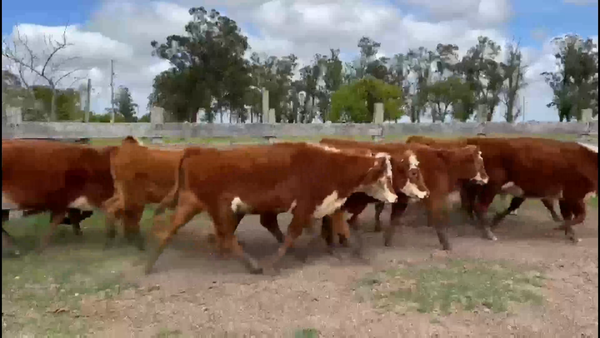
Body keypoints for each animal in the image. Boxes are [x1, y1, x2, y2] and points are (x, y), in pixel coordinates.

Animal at [148, 141, 406, 274]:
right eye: (385, 176)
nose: (394, 197)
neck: (329, 165)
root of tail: (198, 151)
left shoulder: (324, 206)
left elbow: (337, 228)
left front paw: (348, 252)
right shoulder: (304, 206)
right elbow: (294, 233)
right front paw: (275, 261)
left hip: (191, 203)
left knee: (171, 229)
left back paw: (150, 264)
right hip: (219, 208)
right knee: (228, 236)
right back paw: (253, 265)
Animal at [318, 137, 488, 251]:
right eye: (480, 162)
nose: (486, 178)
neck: (442, 164)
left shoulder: (403, 200)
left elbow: (395, 219)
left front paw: (387, 241)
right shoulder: (434, 198)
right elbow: (438, 221)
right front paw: (446, 244)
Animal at [406, 135, 596, 243]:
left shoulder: (565, 196)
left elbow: (569, 215)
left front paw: (569, 232)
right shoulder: (574, 195)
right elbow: (580, 216)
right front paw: (562, 228)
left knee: (471, 204)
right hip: (491, 185)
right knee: (479, 206)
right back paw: (487, 232)